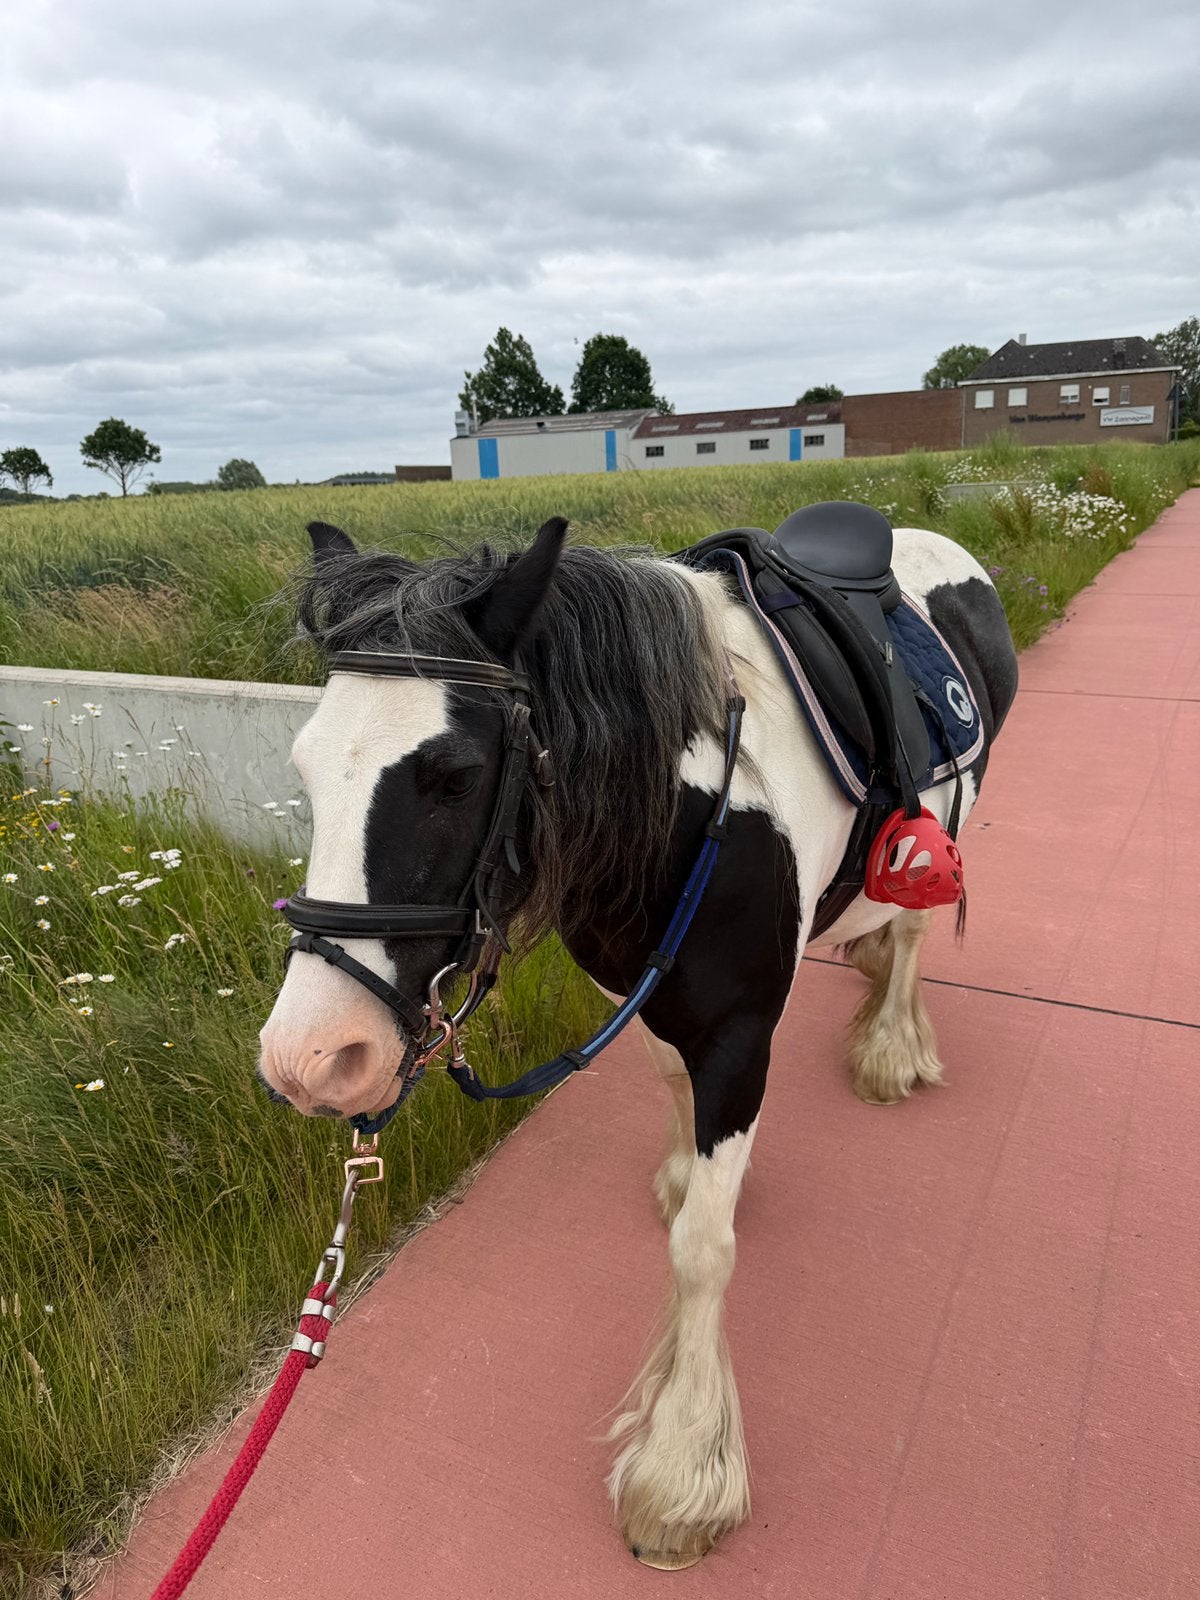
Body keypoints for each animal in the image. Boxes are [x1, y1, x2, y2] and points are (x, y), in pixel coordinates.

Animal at [258, 510, 1018, 1568]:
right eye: (303, 767)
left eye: (454, 777)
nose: (313, 1057)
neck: (694, 805)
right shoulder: (638, 989)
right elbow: (670, 1087)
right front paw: (680, 1172)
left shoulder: (742, 1033)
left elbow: (703, 1249)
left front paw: (682, 1471)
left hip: (948, 819)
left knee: (910, 928)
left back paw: (890, 1048)